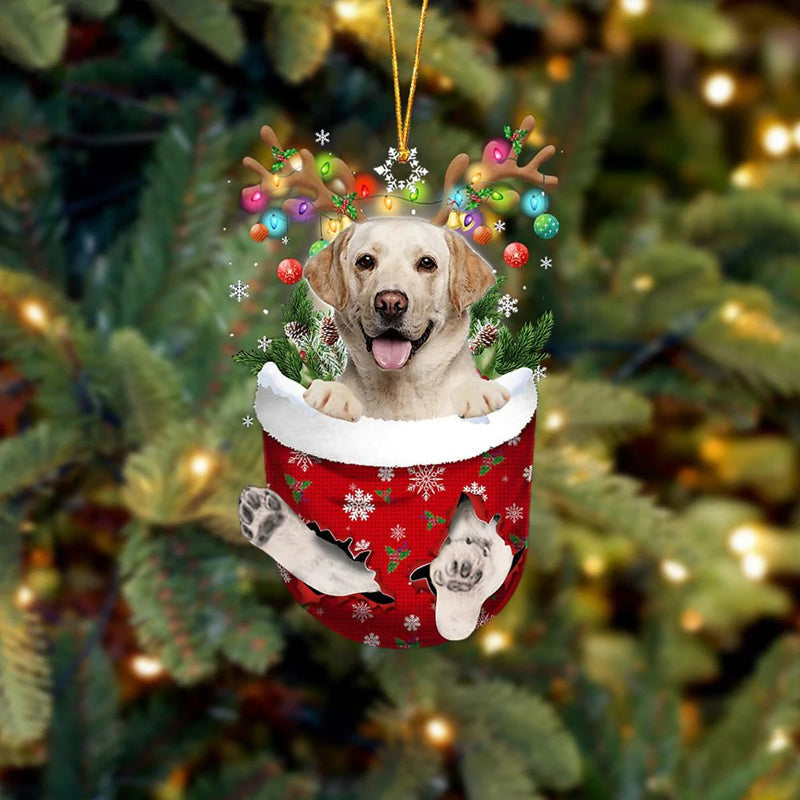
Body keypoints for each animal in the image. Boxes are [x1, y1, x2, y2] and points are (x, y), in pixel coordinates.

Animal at [300, 216, 512, 422]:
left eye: (427, 263)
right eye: (365, 261)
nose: (390, 304)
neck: (401, 386)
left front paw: (476, 392)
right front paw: (335, 394)